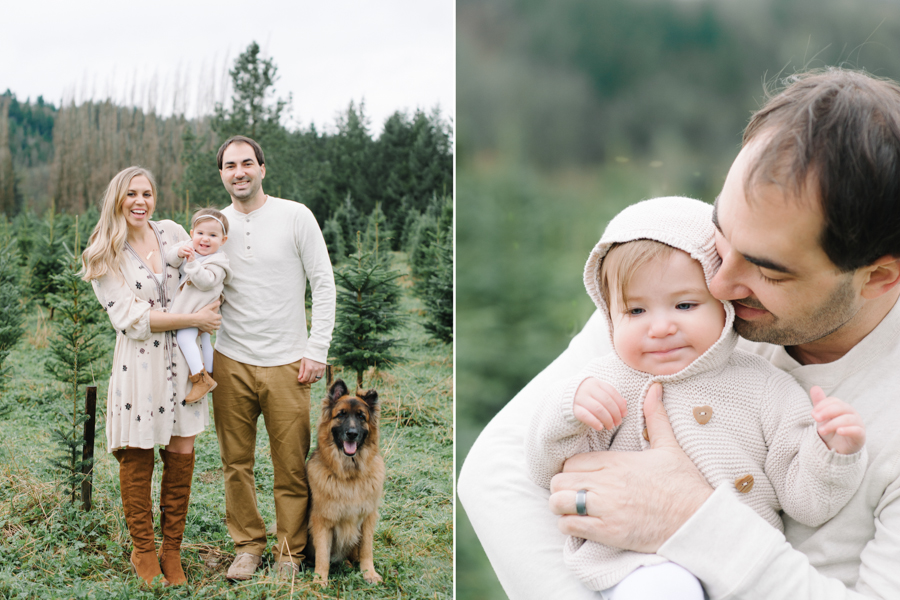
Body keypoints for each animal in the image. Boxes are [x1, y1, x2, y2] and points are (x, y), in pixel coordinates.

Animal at [308, 380, 384, 584]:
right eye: (341, 414)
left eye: (361, 417)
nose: (352, 434)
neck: (350, 475)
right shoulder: (322, 521)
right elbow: (323, 554)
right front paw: (319, 580)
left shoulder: (368, 518)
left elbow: (366, 549)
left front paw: (369, 573)